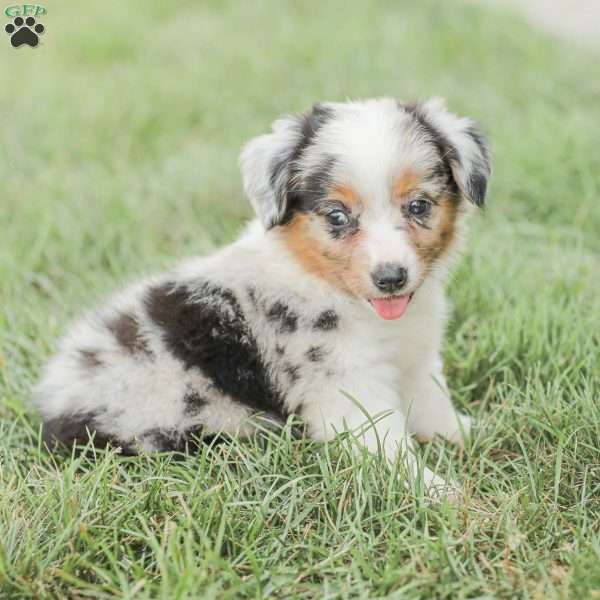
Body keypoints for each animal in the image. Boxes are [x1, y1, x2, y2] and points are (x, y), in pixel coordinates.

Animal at [32, 96, 490, 494]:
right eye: (337, 216)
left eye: (418, 206)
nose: (391, 277)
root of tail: (55, 402)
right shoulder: (344, 382)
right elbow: (386, 445)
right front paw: (436, 491)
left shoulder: (417, 359)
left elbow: (434, 405)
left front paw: (471, 433)